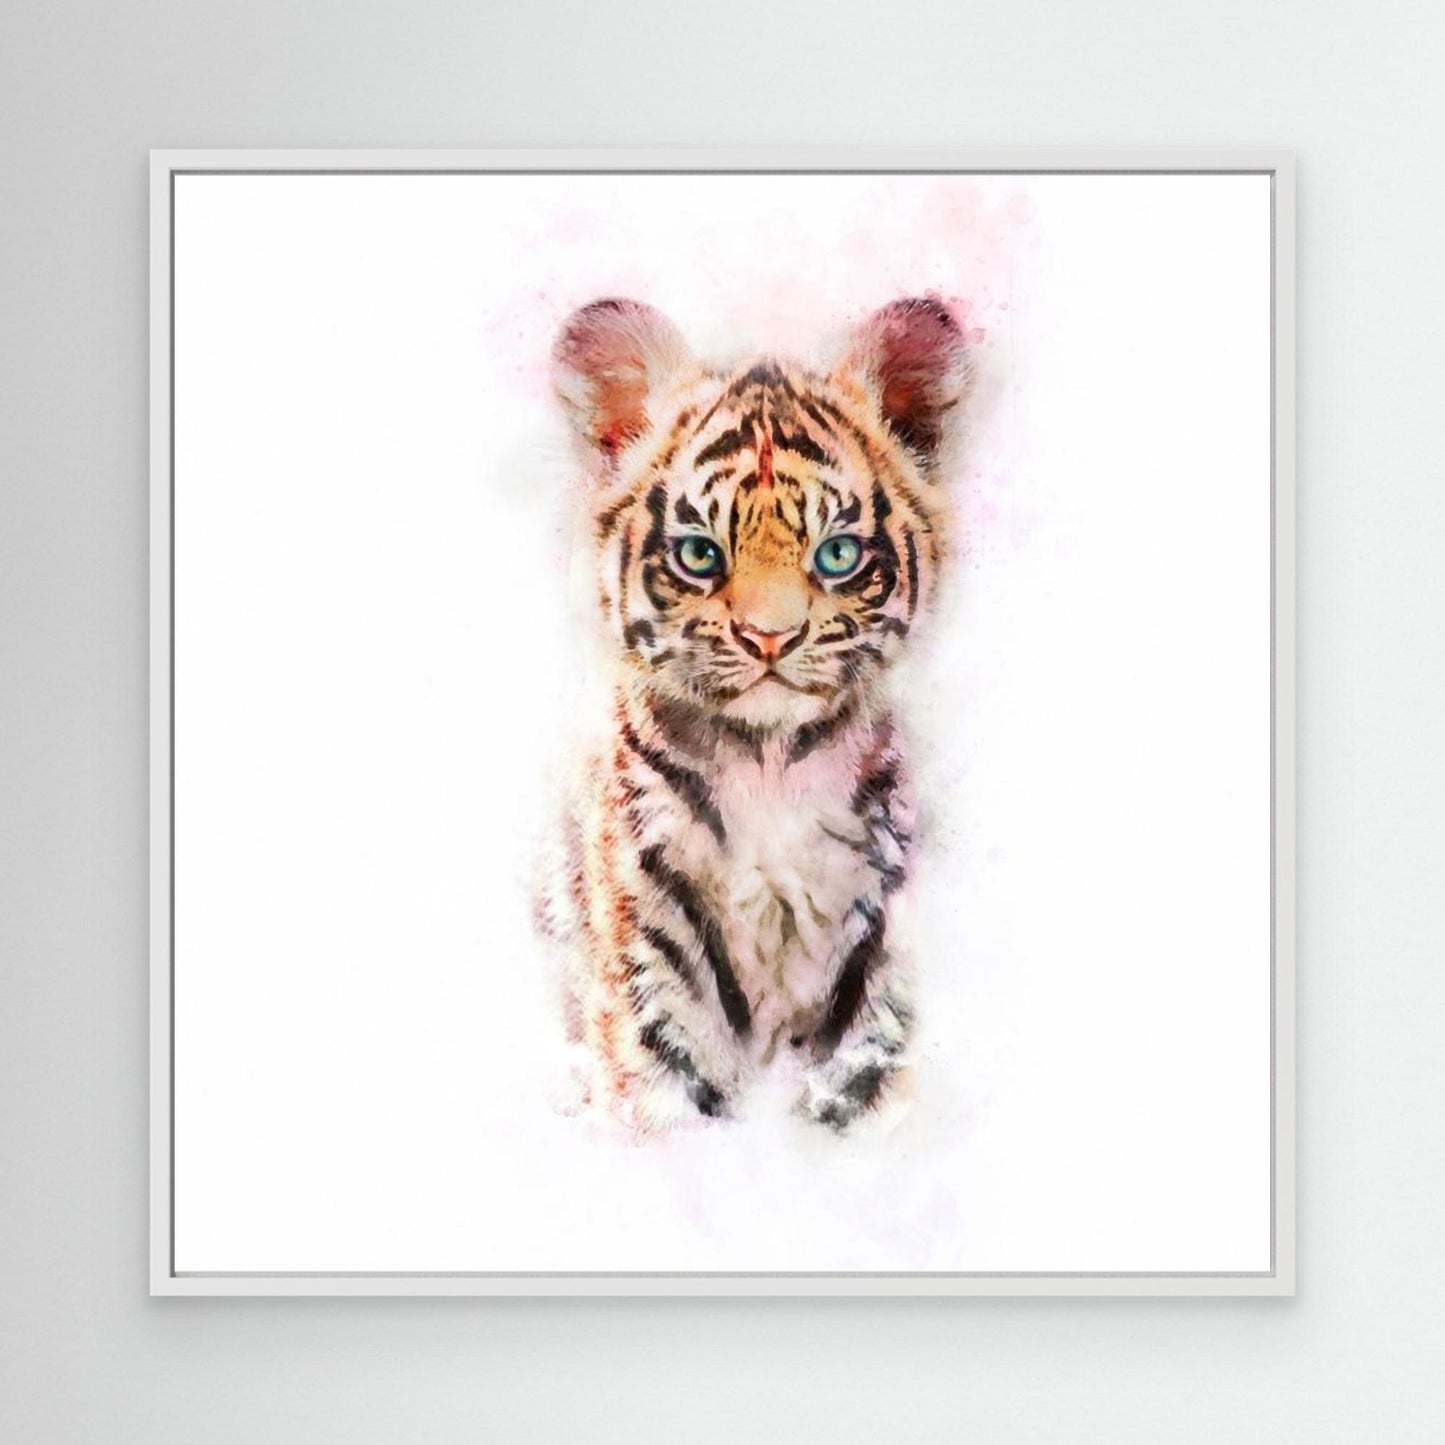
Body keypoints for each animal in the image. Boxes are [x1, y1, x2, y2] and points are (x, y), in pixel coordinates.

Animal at [540, 295, 970, 1135]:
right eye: (699, 555)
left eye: (836, 554)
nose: (770, 636)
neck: (770, 769)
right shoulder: (651, 953)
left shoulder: (880, 950)